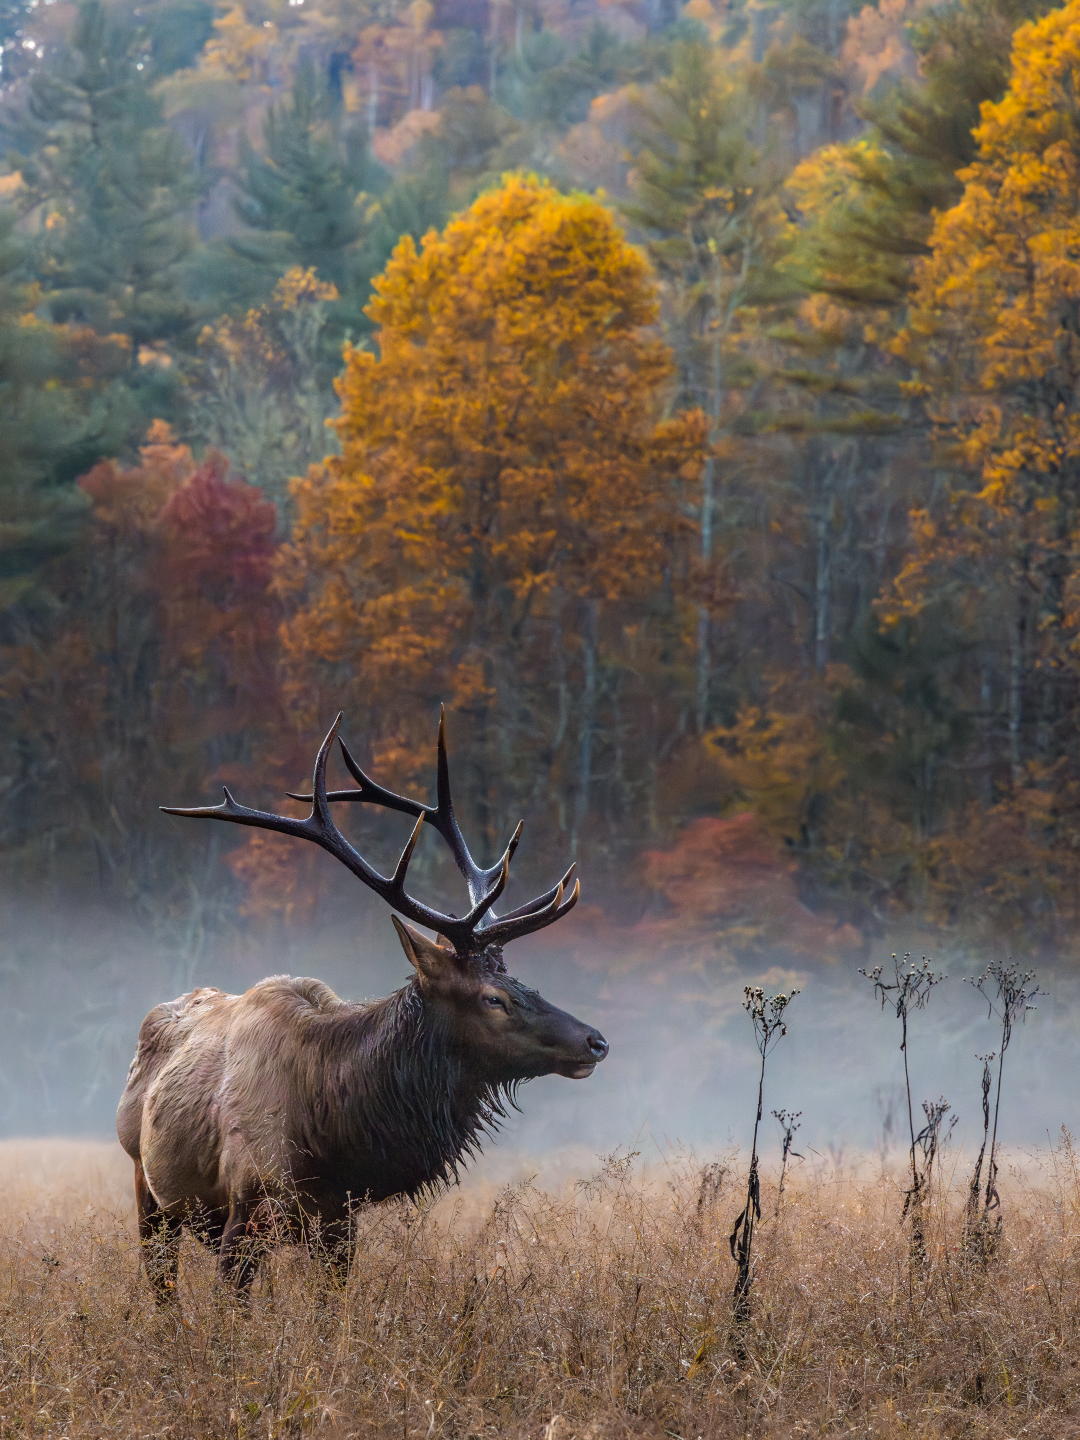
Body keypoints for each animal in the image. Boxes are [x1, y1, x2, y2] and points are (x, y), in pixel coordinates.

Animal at [120, 714, 610, 1301]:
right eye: (493, 998)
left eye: (517, 980)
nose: (596, 1041)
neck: (332, 1138)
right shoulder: (247, 1210)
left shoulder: (338, 1224)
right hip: (148, 1187)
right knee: (161, 1285)